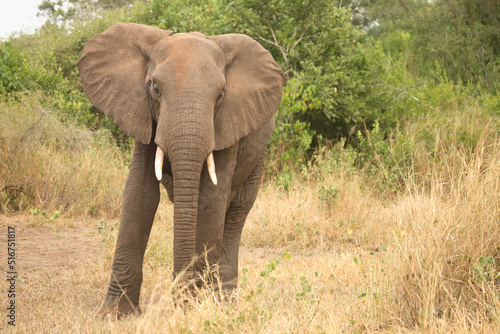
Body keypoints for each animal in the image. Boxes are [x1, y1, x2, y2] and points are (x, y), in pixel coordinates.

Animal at [76, 22, 288, 316]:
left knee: (236, 213)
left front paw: (193, 309)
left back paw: (224, 300)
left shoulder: (226, 124)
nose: (179, 300)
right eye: (155, 89)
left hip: (259, 156)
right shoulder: (144, 115)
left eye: (220, 95)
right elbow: (140, 195)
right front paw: (114, 314)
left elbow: (210, 199)